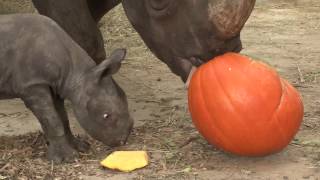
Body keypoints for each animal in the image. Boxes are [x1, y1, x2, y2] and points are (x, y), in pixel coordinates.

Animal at [0, 14, 133, 163]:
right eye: (106, 116)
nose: (122, 141)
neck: (77, 73)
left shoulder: (55, 86)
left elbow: (63, 118)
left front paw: (81, 147)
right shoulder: (32, 85)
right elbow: (52, 120)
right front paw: (66, 158)